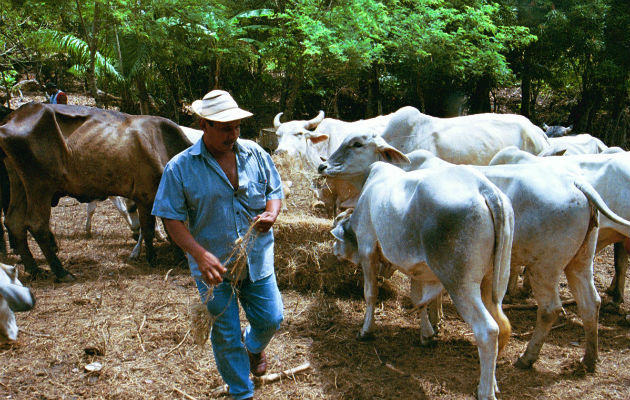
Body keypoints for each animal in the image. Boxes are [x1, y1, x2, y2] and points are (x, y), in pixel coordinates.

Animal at [0, 103, 191, 282]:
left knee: (14, 222)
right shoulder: (146, 195)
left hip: (19, 182)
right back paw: (61, 272)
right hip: (40, 185)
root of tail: (13, 117)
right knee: (36, 224)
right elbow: (151, 228)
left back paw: (35, 270)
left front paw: (176, 256)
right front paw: (155, 258)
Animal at [318, 138, 516, 400]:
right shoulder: (419, 270)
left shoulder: (368, 247)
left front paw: (366, 331)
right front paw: (427, 335)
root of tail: (485, 189)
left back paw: (484, 391)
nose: (323, 166)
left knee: (488, 330)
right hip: (493, 282)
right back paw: (492, 383)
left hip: (461, 284)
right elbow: (420, 300)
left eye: (356, 143)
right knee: (502, 325)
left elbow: (370, 294)